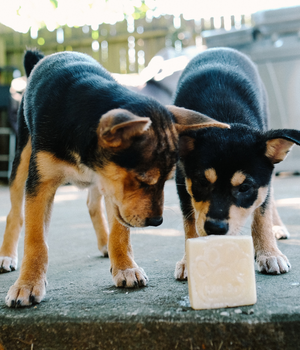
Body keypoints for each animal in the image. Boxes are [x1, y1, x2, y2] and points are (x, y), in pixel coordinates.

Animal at [0, 50, 227, 308]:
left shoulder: (114, 187)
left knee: (92, 204)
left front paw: (126, 268)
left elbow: (120, 231)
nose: (157, 222)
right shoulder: (41, 185)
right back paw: (7, 255)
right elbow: (36, 239)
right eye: (143, 179)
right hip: (22, 157)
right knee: (15, 213)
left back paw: (105, 243)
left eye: (166, 180)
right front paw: (27, 285)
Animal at [172, 47, 300, 280]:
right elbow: (189, 222)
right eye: (202, 183)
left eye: (244, 188)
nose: (215, 228)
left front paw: (269, 253)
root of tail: (221, 48)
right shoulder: (182, 179)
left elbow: (262, 215)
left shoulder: (262, 183)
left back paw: (277, 227)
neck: (223, 120)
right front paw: (188, 260)